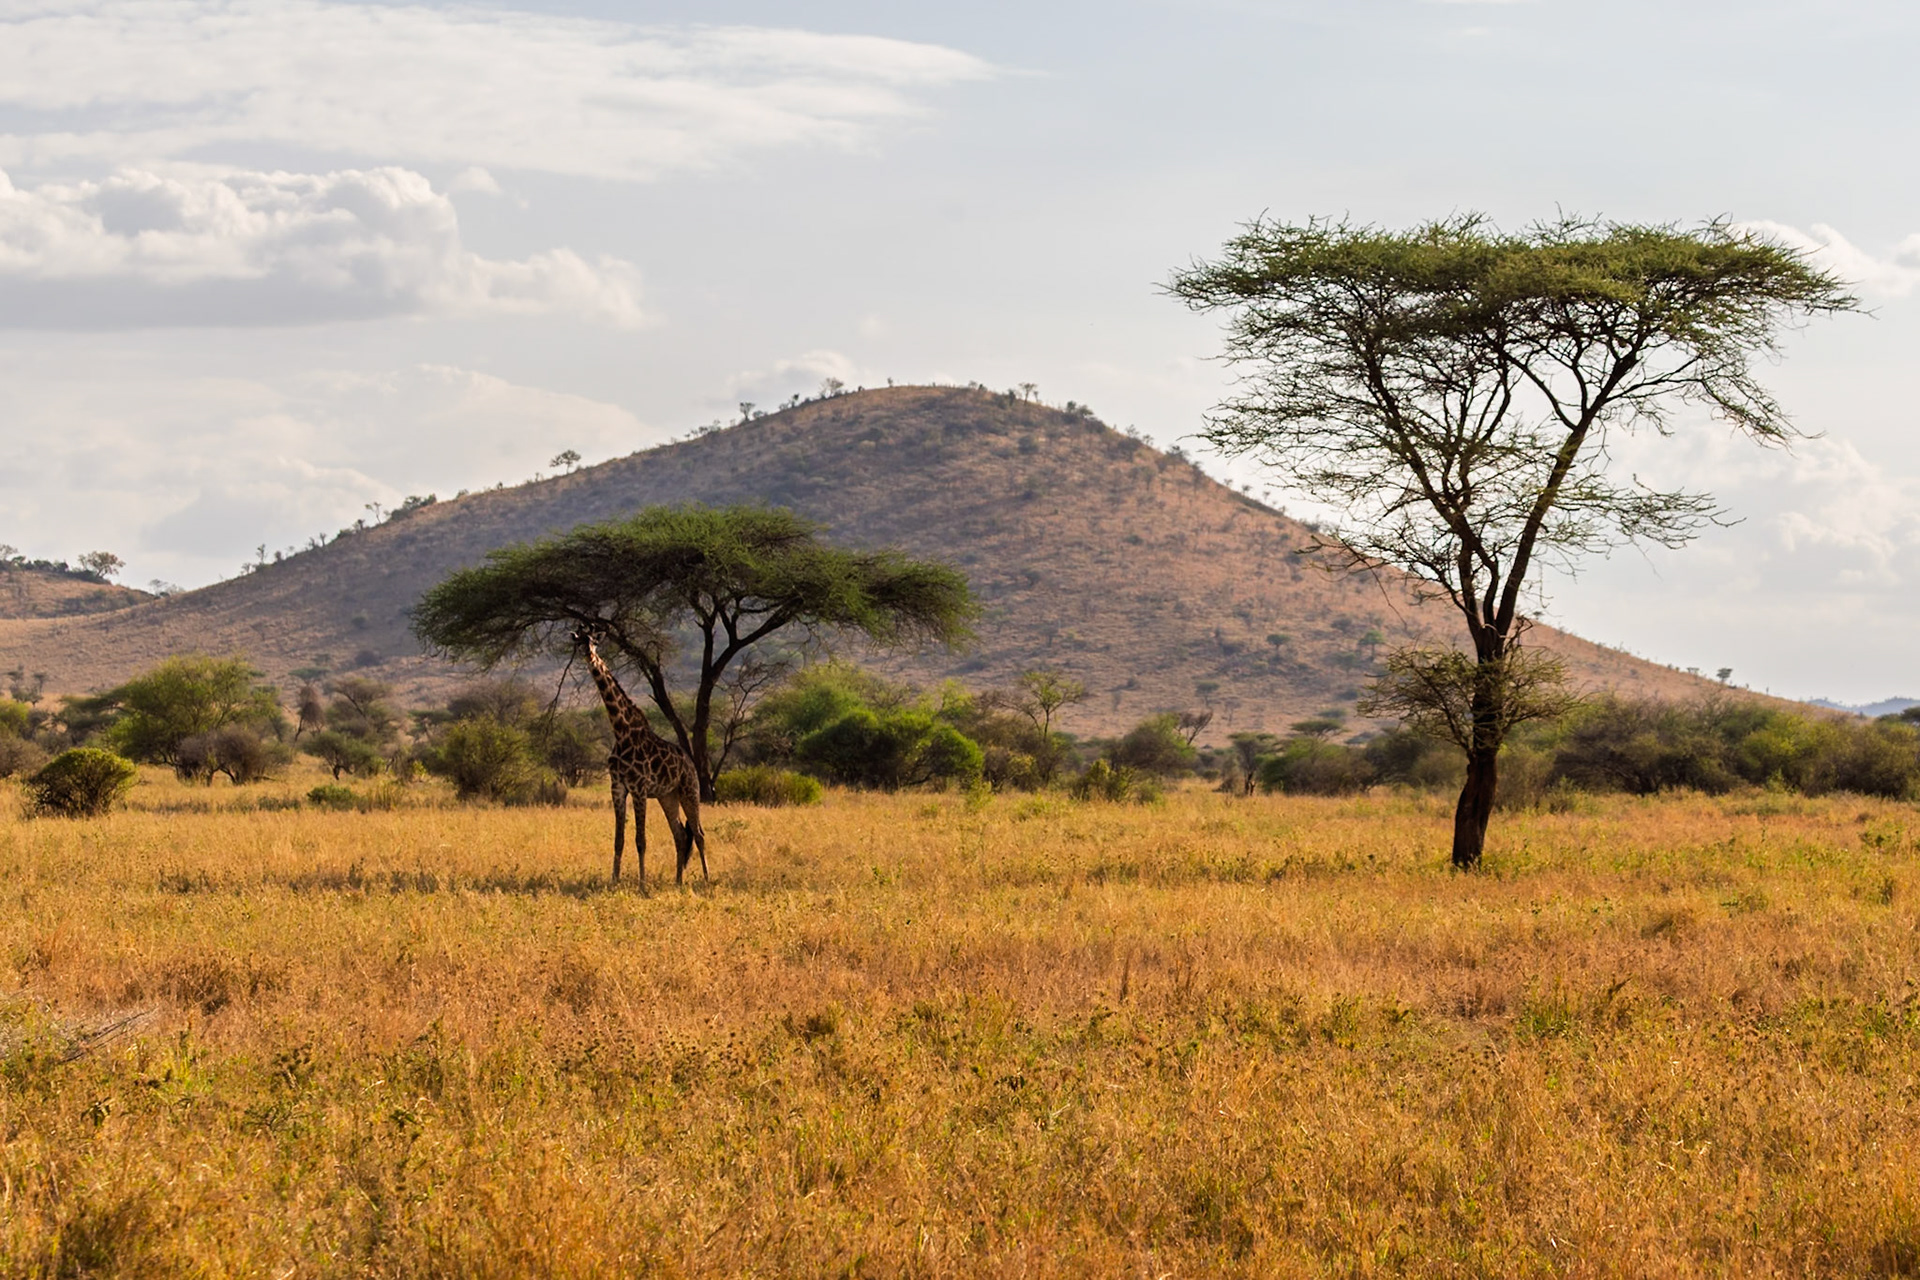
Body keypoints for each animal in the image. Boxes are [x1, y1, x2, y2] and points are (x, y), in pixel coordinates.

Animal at [571, 626, 709, 887]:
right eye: (579, 642)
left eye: (594, 641)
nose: (589, 655)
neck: (621, 731)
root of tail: (690, 763)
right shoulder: (618, 787)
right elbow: (619, 840)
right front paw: (614, 881)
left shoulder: (639, 788)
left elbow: (640, 840)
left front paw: (642, 884)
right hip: (668, 796)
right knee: (679, 834)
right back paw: (678, 881)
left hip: (690, 790)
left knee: (698, 834)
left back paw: (706, 880)